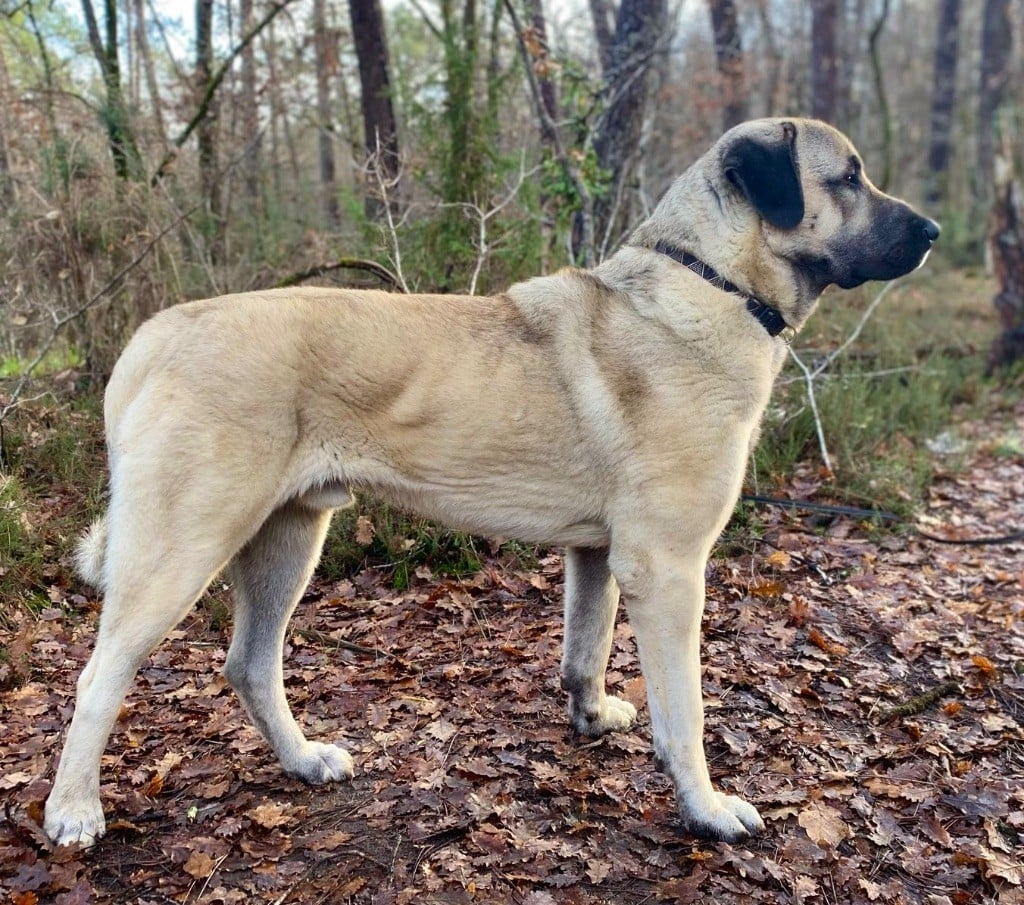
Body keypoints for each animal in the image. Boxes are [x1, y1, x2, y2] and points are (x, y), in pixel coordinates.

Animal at [44, 116, 937, 843]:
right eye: (848, 178)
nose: (931, 230)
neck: (709, 280)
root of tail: (155, 333)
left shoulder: (599, 555)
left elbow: (585, 647)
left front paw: (591, 716)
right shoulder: (669, 567)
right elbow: (684, 711)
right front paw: (707, 808)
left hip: (287, 539)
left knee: (250, 665)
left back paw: (302, 760)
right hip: (184, 547)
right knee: (100, 675)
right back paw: (73, 808)